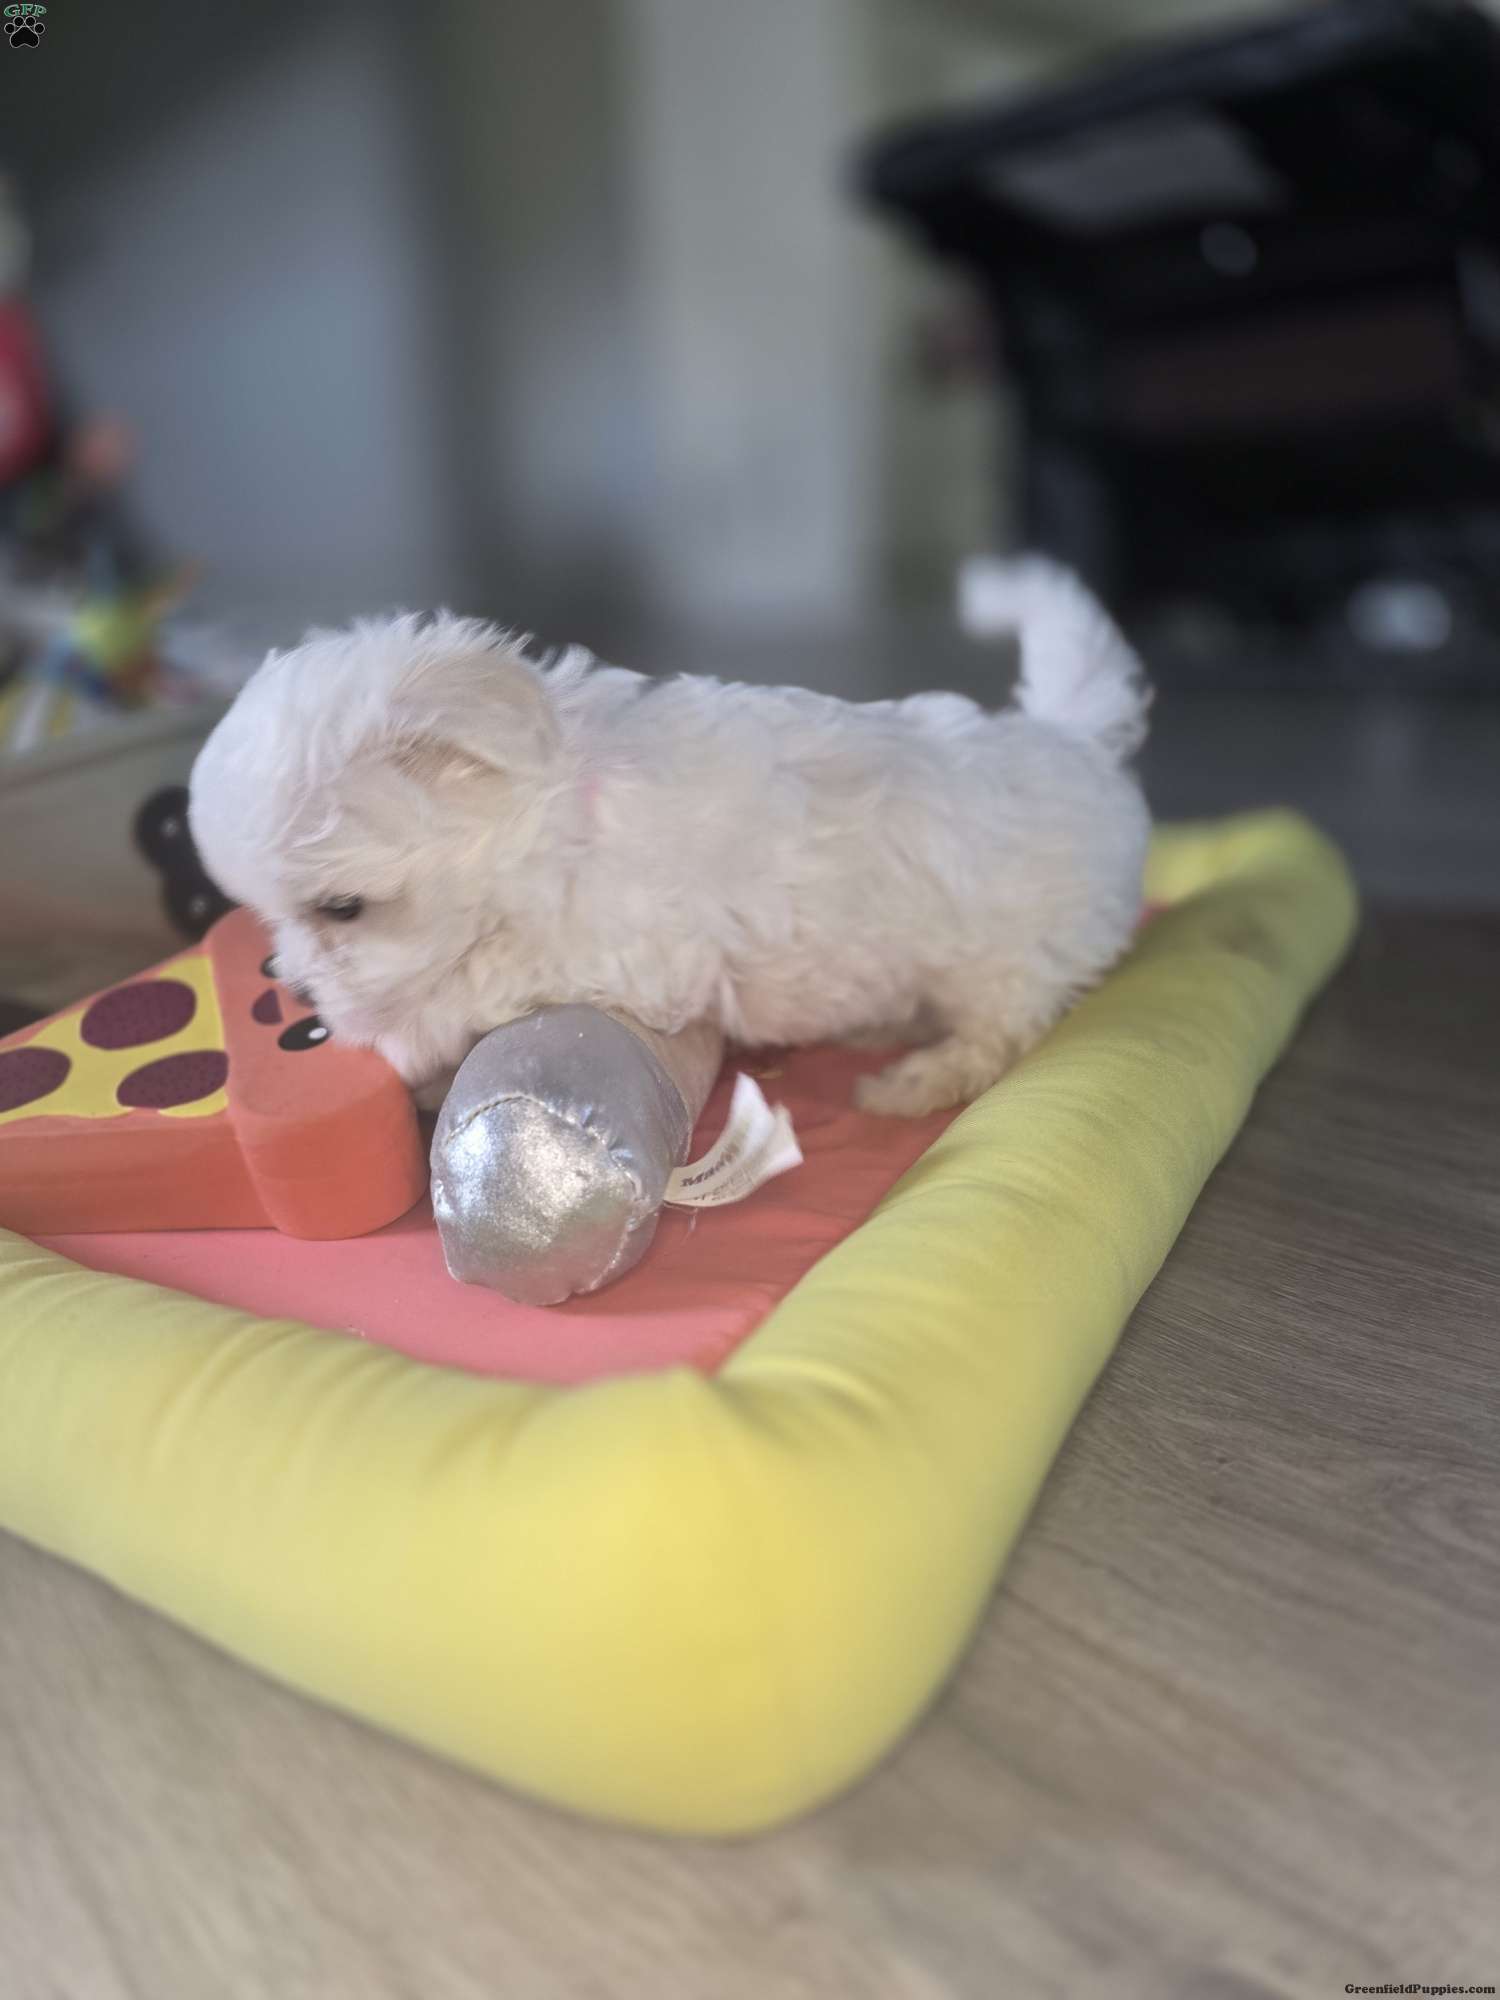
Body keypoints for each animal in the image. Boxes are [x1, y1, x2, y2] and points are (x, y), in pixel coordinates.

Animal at [189, 558, 1151, 1117]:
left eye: (343, 908)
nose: (291, 986)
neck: (556, 809)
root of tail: (1073, 742)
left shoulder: (621, 947)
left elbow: (480, 977)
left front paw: (399, 1037)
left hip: (1010, 958)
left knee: (1003, 1031)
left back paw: (916, 1081)